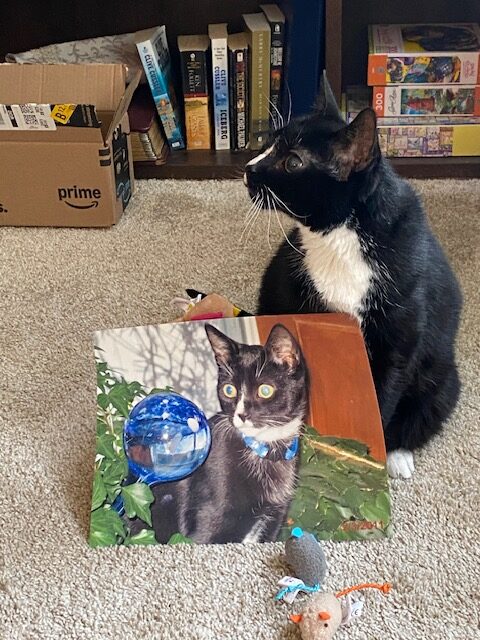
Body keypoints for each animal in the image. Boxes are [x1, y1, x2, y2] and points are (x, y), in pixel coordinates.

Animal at [126, 322, 308, 544]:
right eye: (229, 390)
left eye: (265, 390)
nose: (241, 415)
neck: (263, 448)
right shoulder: (207, 522)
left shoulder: (272, 520)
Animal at [246, 74, 464, 480]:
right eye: (271, 142)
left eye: (293, 161)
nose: (249, 169)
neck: (341, 238)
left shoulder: (399, 334)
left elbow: (383, 398)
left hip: (442, 379)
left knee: (421, 412)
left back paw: (398, 456)